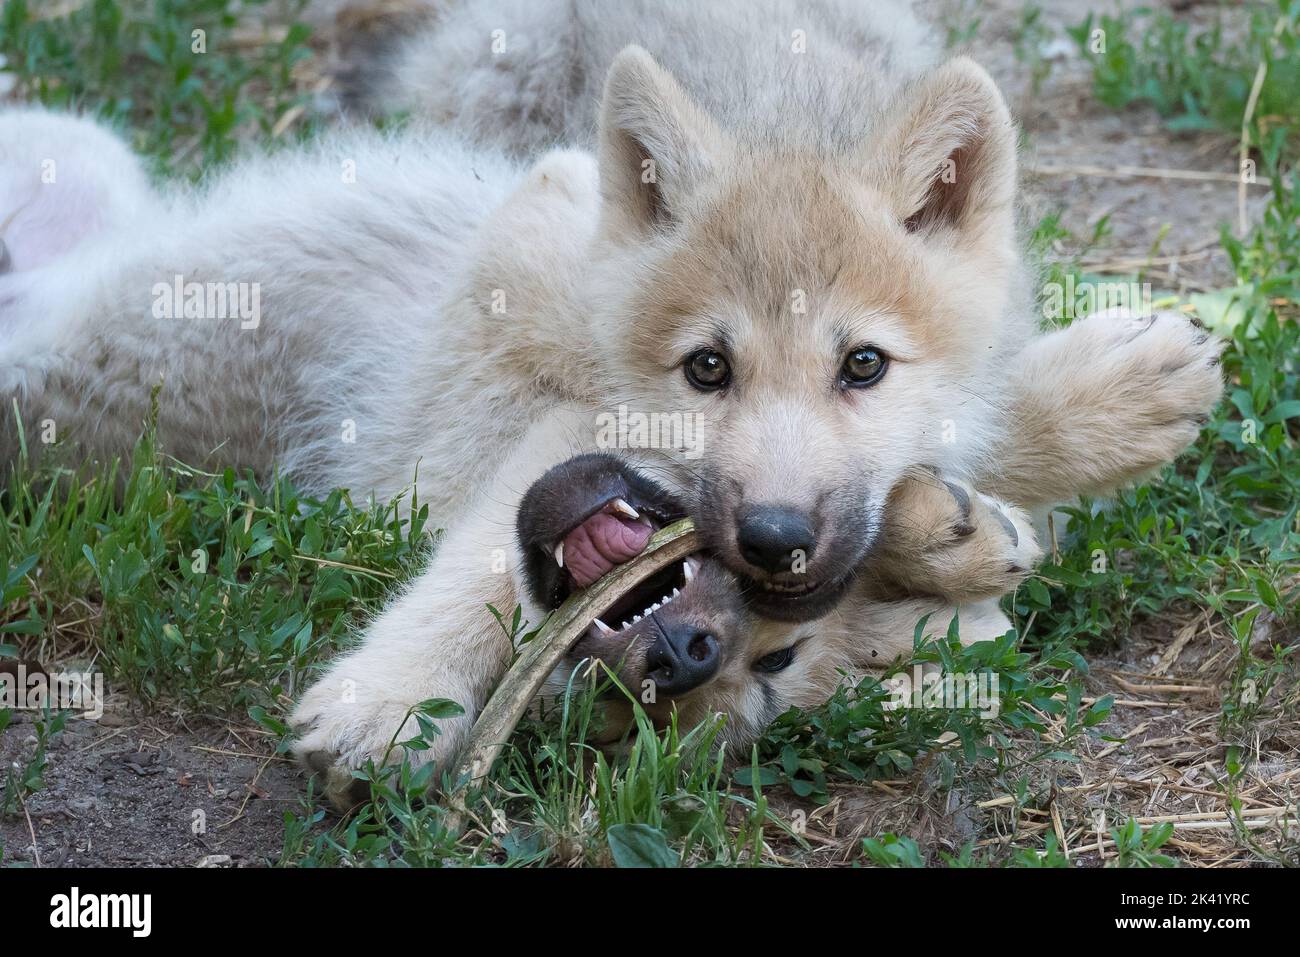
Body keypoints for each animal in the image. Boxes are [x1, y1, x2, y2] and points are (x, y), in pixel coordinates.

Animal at [0, 1, 1222, 806]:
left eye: (864, 367)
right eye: (707, 370)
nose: (681, 653)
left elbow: (966, 431)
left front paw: (1022, 468)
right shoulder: (512, 299)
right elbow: (482, 565)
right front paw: (393, 700)